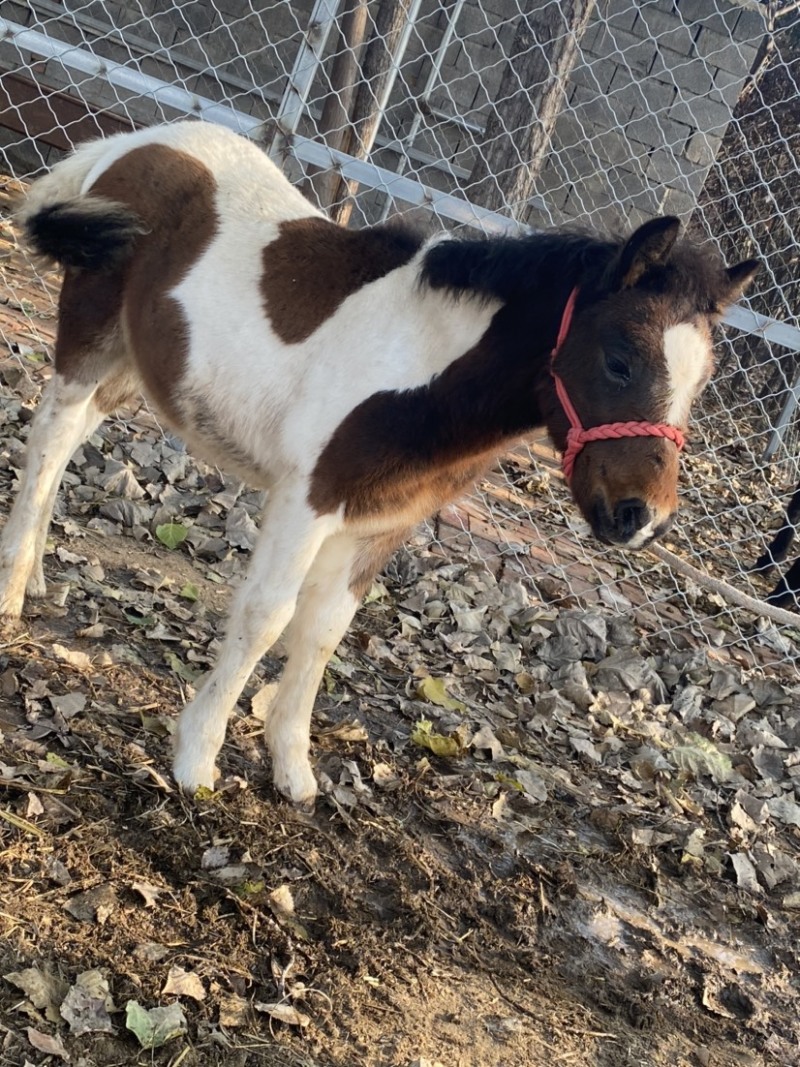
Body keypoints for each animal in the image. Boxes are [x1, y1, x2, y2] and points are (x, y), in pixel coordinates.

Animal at [0, 120, 758, 806]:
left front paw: (292, 771)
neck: (422, 364)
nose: (643, 518)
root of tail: (135, 141)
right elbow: (267, 615)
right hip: (90, 339)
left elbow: (325, 630)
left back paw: (34, 574)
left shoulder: (382, 522)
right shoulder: (307, 499)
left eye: (700, 382)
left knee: (70, 442)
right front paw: (196, 761)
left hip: (134, 367)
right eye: (620, 358)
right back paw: (11, 592)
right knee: (49, 436)